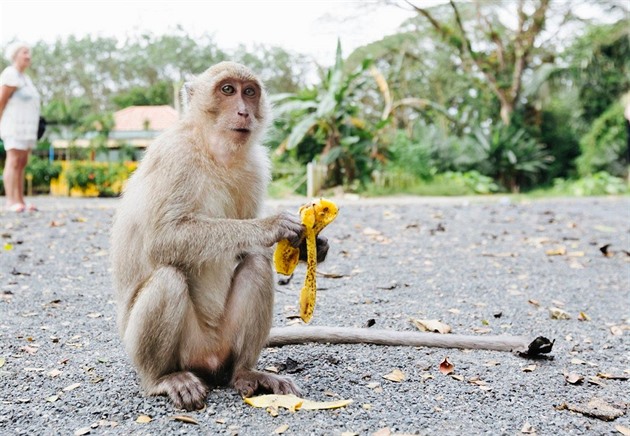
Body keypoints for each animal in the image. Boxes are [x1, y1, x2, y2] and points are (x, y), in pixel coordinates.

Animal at [112, 61, 552, 412]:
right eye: (226, 90)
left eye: (249, 91)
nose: (243, 110)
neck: (214, 149)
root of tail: (208, 360)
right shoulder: (175, 157)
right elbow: (162, 239)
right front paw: (273, 227)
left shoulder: (254, 165)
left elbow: (251, 251)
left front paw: (314, 248)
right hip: (177, 347)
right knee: (169, 278)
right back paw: (162, 379)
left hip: (221, 345)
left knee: (254, 265)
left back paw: (246, 374)